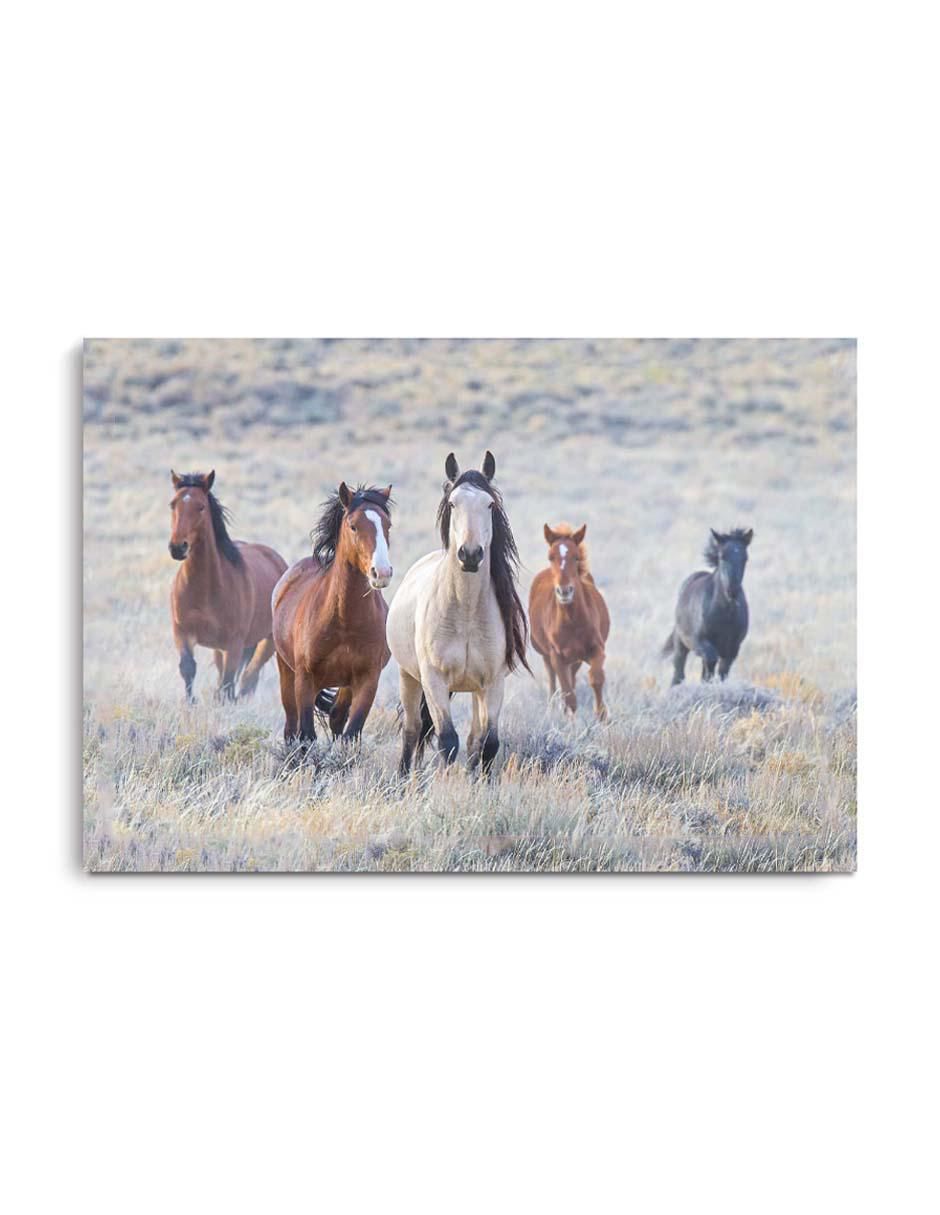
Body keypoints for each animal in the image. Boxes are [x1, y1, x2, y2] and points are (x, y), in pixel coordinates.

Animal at [168, 470, 287, 701]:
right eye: (172, 504)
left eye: (201, 506)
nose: (178, 547)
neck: (205, 590)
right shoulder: (182, 632)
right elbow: (188, 668)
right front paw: (190, 703)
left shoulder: (234, 644)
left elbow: (228, 683)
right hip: (219, 648)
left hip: (267, 642)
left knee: (248, 677)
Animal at [272, 482, 393, 747]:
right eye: (353, 526)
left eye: (388, 525)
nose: (381, 572)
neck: (344, 621)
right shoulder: (305, 679)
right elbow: (307, 734)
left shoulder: (367, 680)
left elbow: (351, 733)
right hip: (287, 672)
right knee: (291, 725)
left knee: (337, 718)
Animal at [387, 450, 530, 776]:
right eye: (453, 503)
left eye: (490, 504)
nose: (471, 554)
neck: (465, 612)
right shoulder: (434, 680)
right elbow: (447, 740)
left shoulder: (493, 683)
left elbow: (487, 743)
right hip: (408, 677)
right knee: (412, 730)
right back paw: (404, 779)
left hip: (475, 691)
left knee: (475, 737)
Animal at [529, 523, 611, 720]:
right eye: (551, 557)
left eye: (576, 557)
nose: (564, 591)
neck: (572, 622)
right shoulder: (557, 656)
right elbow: (568, 695)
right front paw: (571, 722)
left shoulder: (596, 649)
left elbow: (596, 678)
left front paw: (602, 715)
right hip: (547, 654)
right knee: (552, 679)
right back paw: (552, 708)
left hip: (576, 658)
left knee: (572, 677)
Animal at [663, 527, 753, 684]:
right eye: (722, 556)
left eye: (745, 558)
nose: (732, 590)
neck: (725, 614)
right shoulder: (700, 642)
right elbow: (710, 663)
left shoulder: (732, 649)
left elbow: (722, 672)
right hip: (681, 643)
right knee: (679, 671)